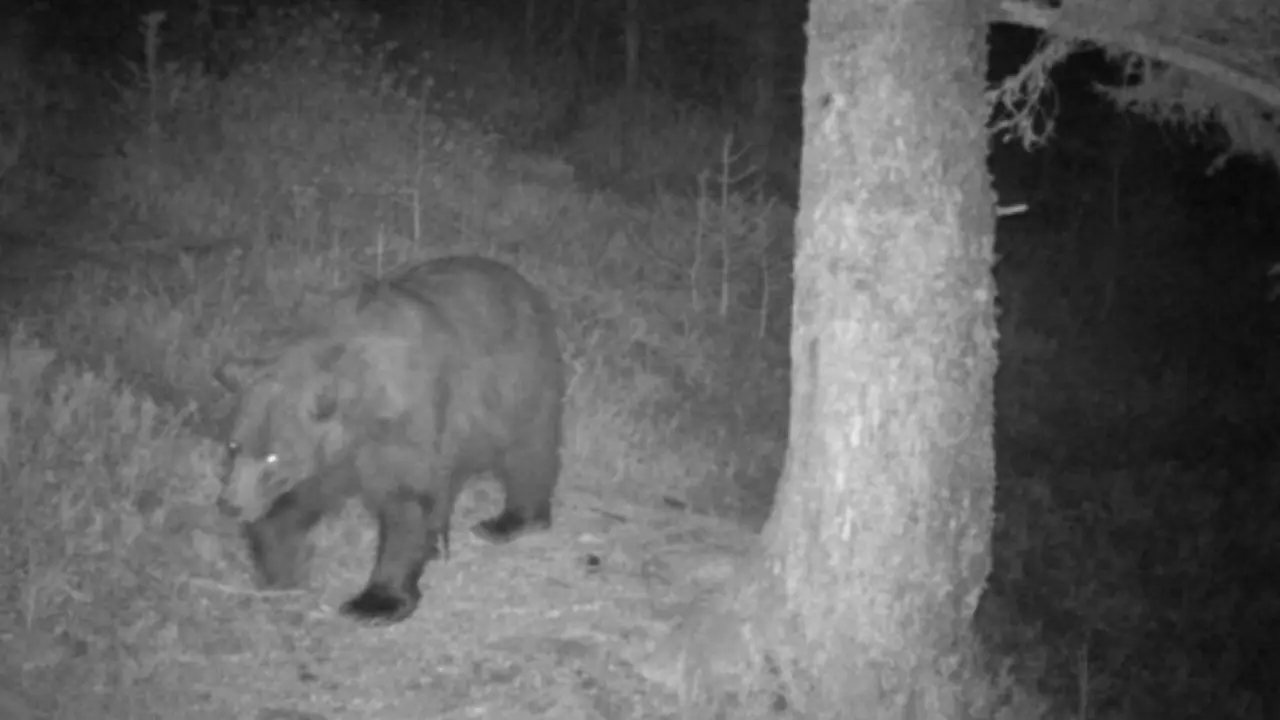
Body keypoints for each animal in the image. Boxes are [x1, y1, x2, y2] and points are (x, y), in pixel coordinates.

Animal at [213, 255, 565, 625]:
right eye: (233, 446)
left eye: (273, 458)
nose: (229, 504)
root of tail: (517, 279)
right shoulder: (333, 456)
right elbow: (299, 501)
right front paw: (279, 566)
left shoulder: (406, 424)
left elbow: (405, 503)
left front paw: (375, 601)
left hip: (518, 385)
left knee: (528, 455)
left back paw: (509, 521)